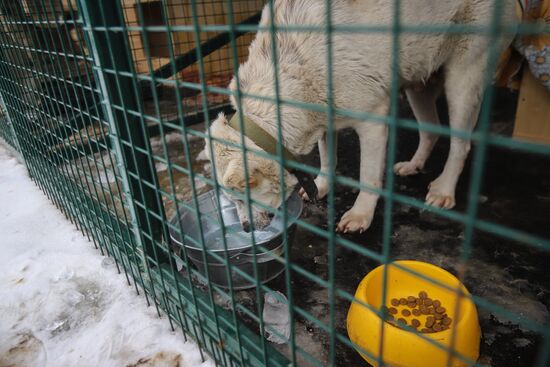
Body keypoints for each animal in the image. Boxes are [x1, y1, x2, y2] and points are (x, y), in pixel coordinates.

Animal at [205, 0, 520, 233]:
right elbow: (328, 161)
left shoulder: (373, 122)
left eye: (240, 197)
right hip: (418, 84)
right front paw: (322, 186)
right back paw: (414, 165)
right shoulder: (324, 122)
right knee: (431, 130)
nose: (246, 229)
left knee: (461, 144)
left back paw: (444, 189)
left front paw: (360, 214)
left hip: (462, 81)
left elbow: (368, 177)